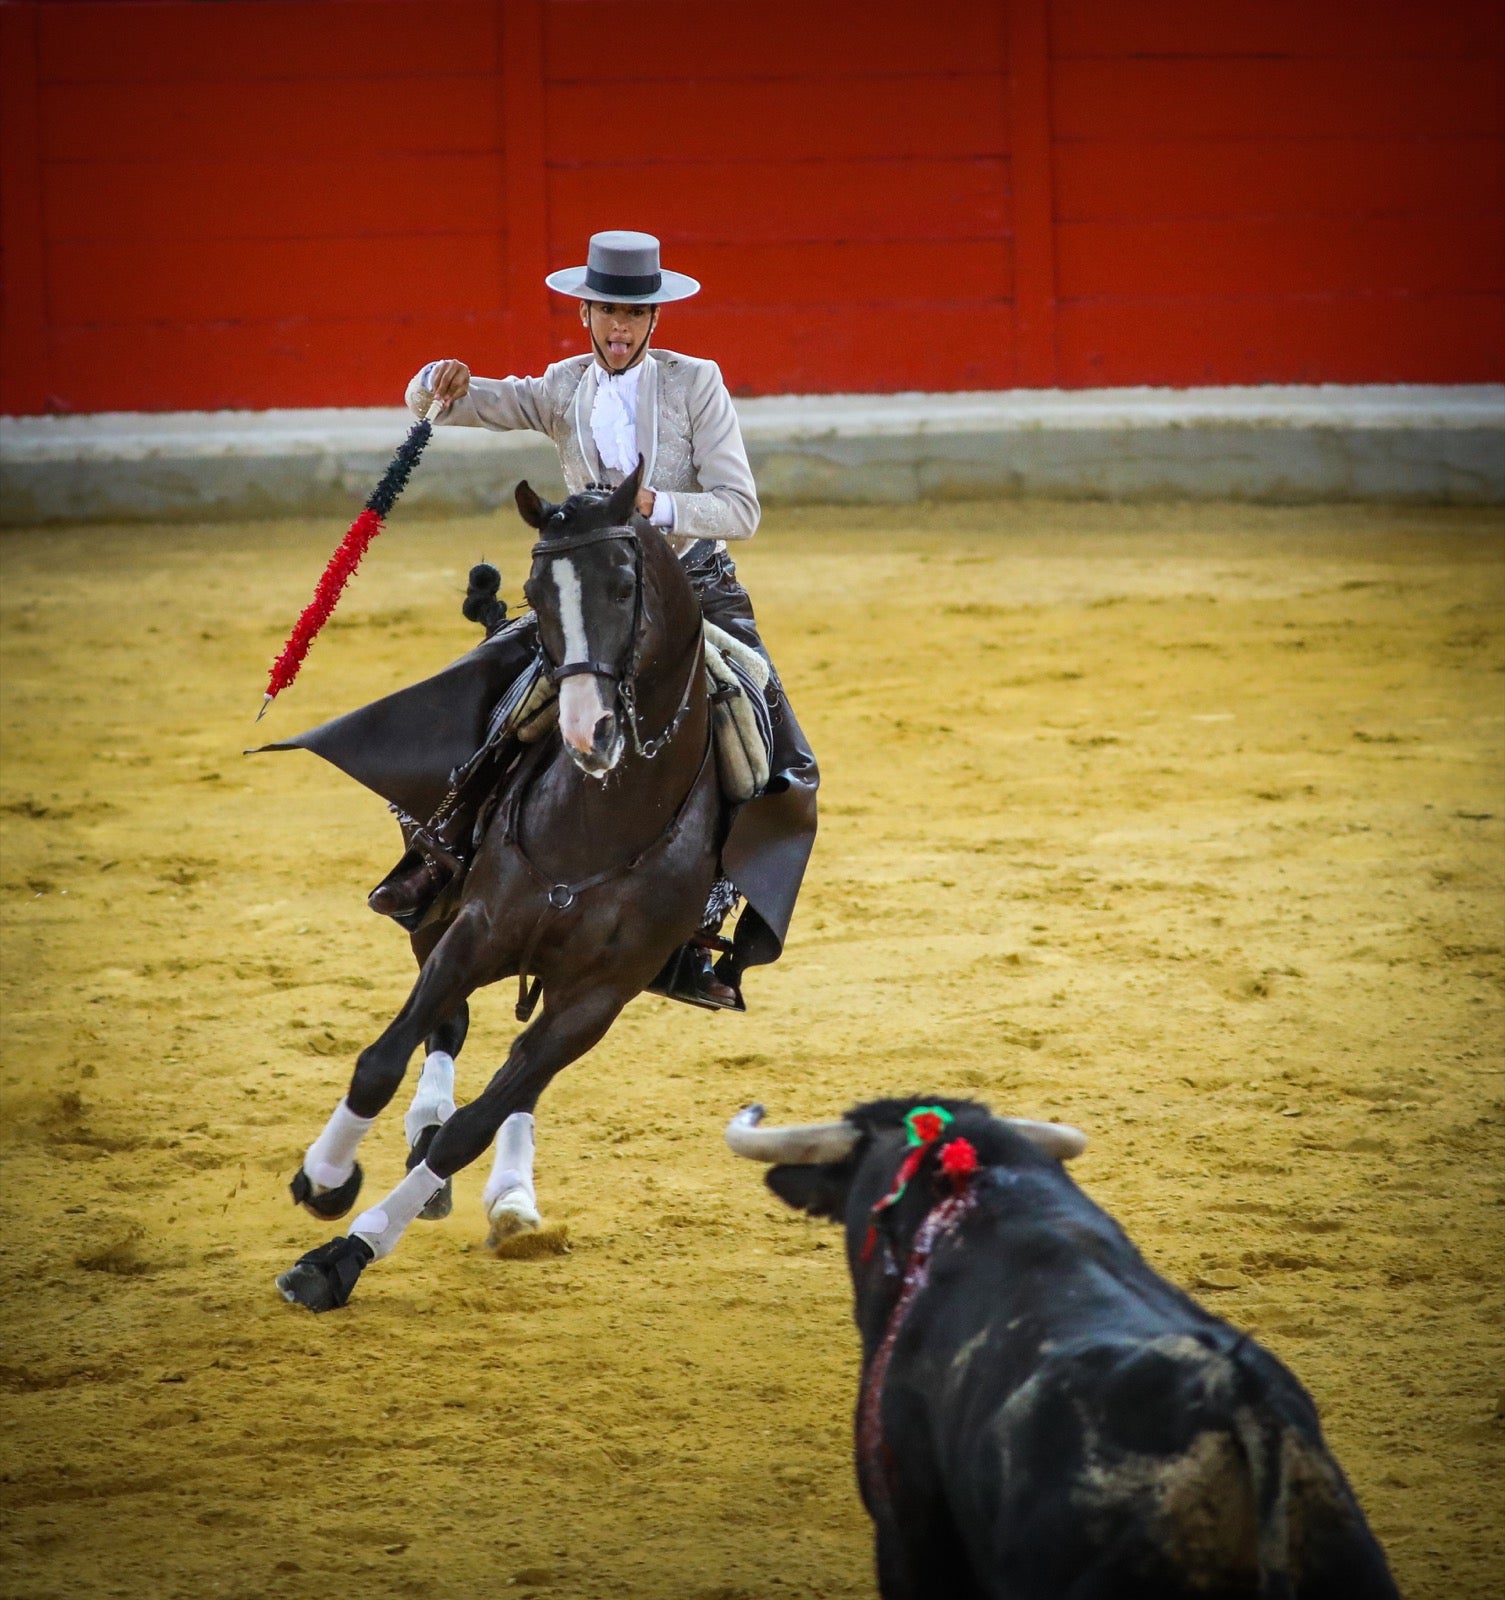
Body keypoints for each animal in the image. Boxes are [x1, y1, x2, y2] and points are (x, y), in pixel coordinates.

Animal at [276, 464, 722, 1312]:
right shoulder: (476, 926)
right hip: (433, 905)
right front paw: (325, 1178)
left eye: (623, 586)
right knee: (445, 1026)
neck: (603, 815)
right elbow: (382, 1059)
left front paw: (342, 1257)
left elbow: (479, 1122)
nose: (586, 731)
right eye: (536, 590)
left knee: (515, 1084)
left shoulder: (596, 998)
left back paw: (510, 1200)